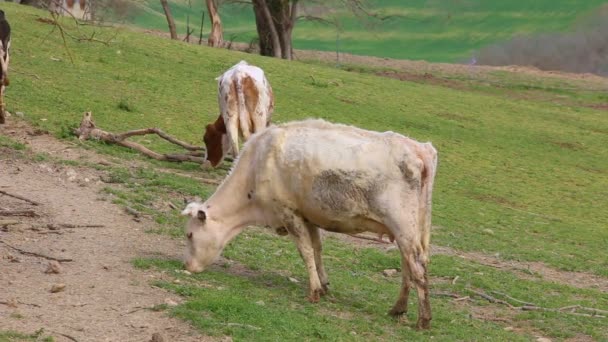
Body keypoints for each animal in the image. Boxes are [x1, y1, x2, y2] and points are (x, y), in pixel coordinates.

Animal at [183, 118, 440, 328]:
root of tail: (421, 149)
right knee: (408, 265)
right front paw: (324, 285)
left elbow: (305, 250)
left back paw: (423, 319)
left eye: (189, 235)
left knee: (416, 266)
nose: (186, 266)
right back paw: (398, 308)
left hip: (402, 225)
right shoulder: (309, 215)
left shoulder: (289, 212)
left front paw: (314, 291)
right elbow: (317, 249)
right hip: (412, 229)